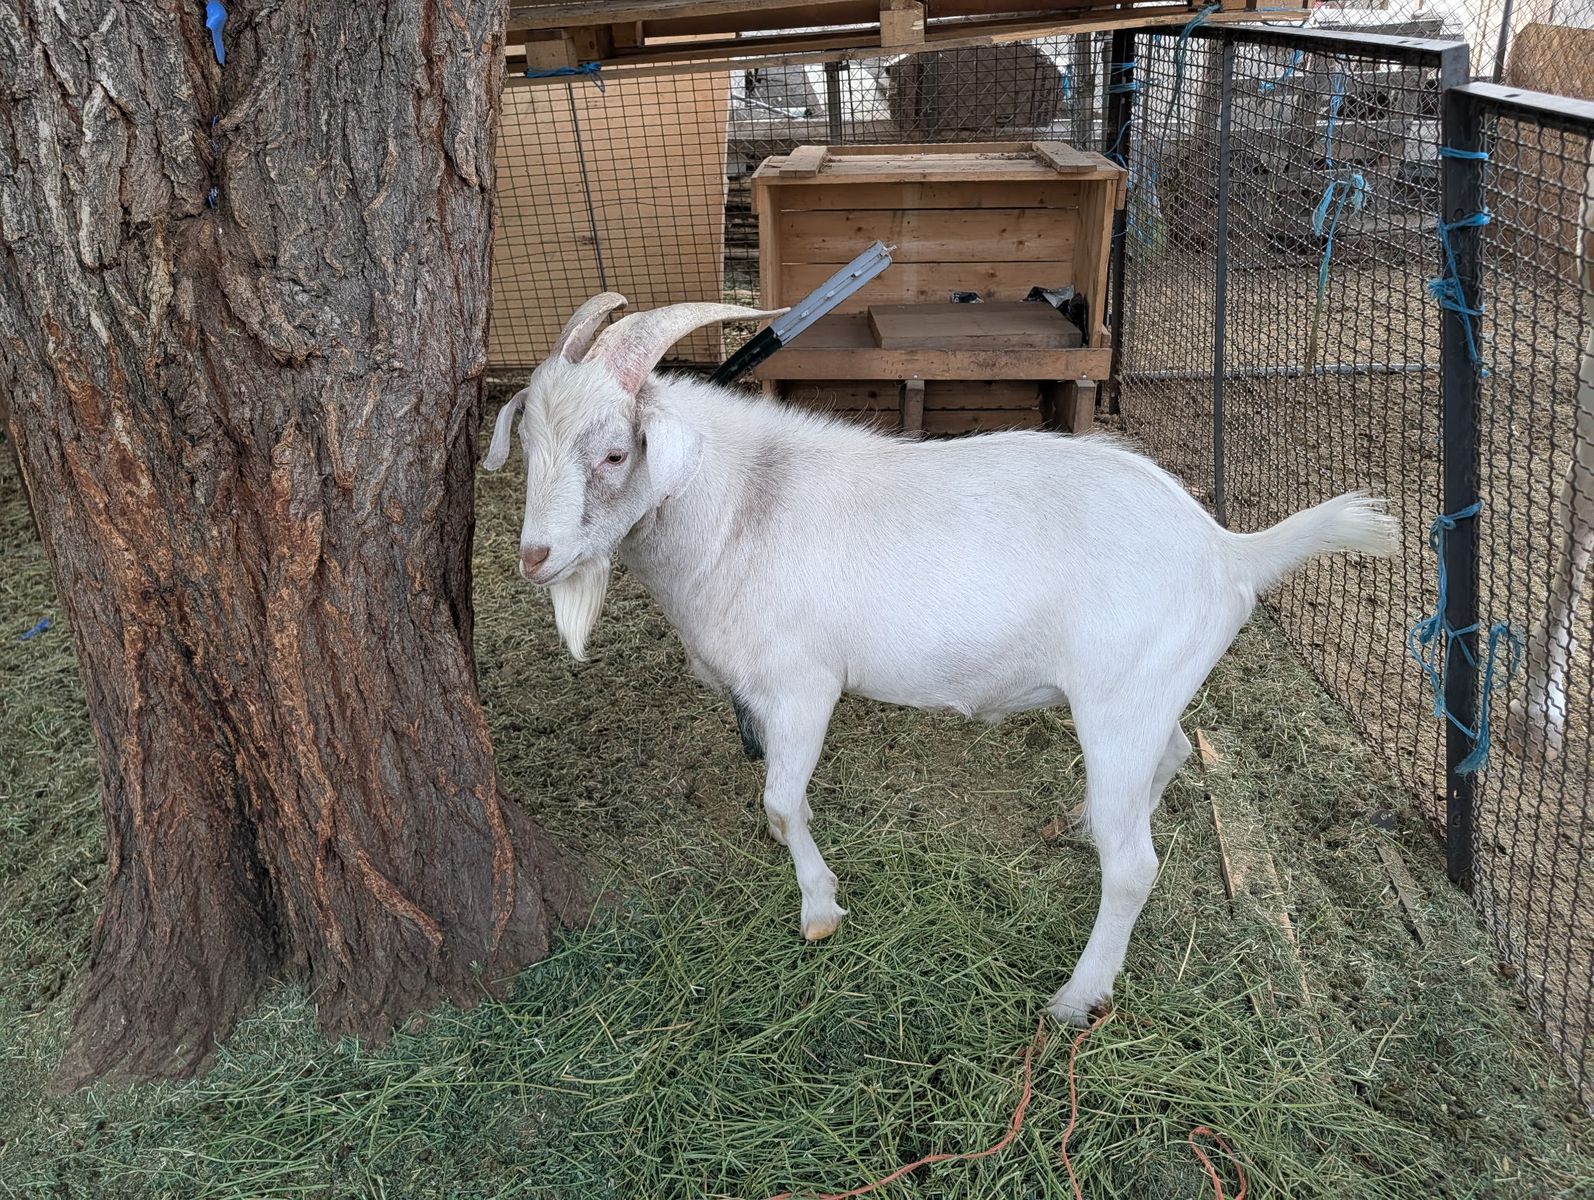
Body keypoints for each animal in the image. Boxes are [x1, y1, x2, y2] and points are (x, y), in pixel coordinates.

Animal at [484, 294, 1399, 1023]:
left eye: (614, 453)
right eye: (528, 443)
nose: (535, 558)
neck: (742, 507)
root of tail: (1228, 551)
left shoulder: (802, 686)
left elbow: (780, 804)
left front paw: (820, 909)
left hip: (1119, 699)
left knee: (1136, 866)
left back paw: (1075, 997)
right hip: (1145, 698)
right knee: (1169, 755)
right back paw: (1082, 828)